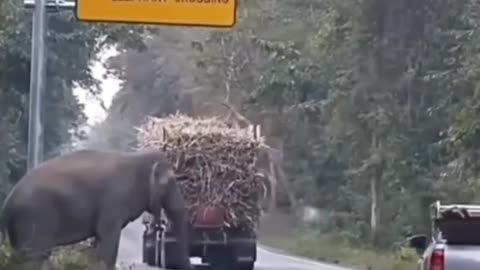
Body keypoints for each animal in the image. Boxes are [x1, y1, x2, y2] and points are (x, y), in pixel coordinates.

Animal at [0, 149, 193, 268]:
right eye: (171, 183)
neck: (136, 157)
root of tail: (7, 204)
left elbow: (100, 242)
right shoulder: (114, 201)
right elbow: (108, 241)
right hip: (35, 218)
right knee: (33, 257)